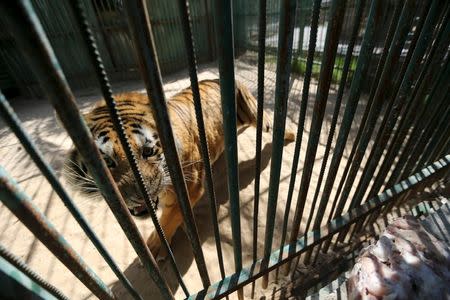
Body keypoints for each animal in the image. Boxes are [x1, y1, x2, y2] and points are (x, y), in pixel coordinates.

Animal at [63, 79, 296, 258]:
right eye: (107, 162)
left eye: (148, 151)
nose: (138, 196)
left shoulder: (189, 188)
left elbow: (170, 219)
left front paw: (156, 248)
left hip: (256, 115)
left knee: (270, 123)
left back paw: (290, 135)